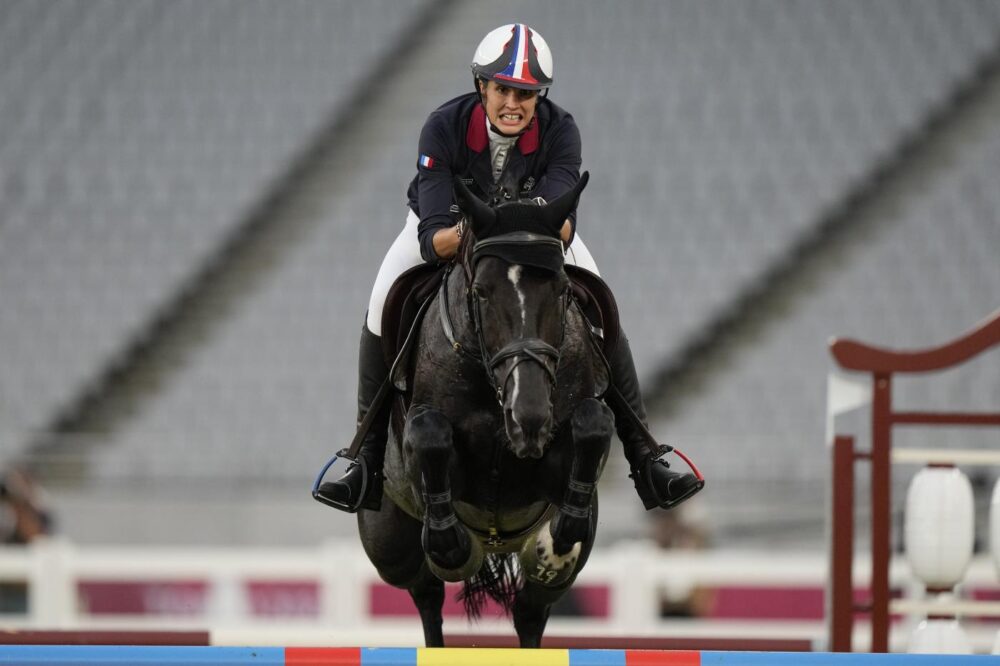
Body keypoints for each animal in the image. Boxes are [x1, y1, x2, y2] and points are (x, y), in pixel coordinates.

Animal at [356, 174, 612, 644]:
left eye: (563, 290)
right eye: (481, 292)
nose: (528, 420)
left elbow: (594, 424)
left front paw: (560, 535)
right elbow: (430, 436)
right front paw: (452, 545)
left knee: (531, 609)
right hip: (389, 545)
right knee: (426, 594)